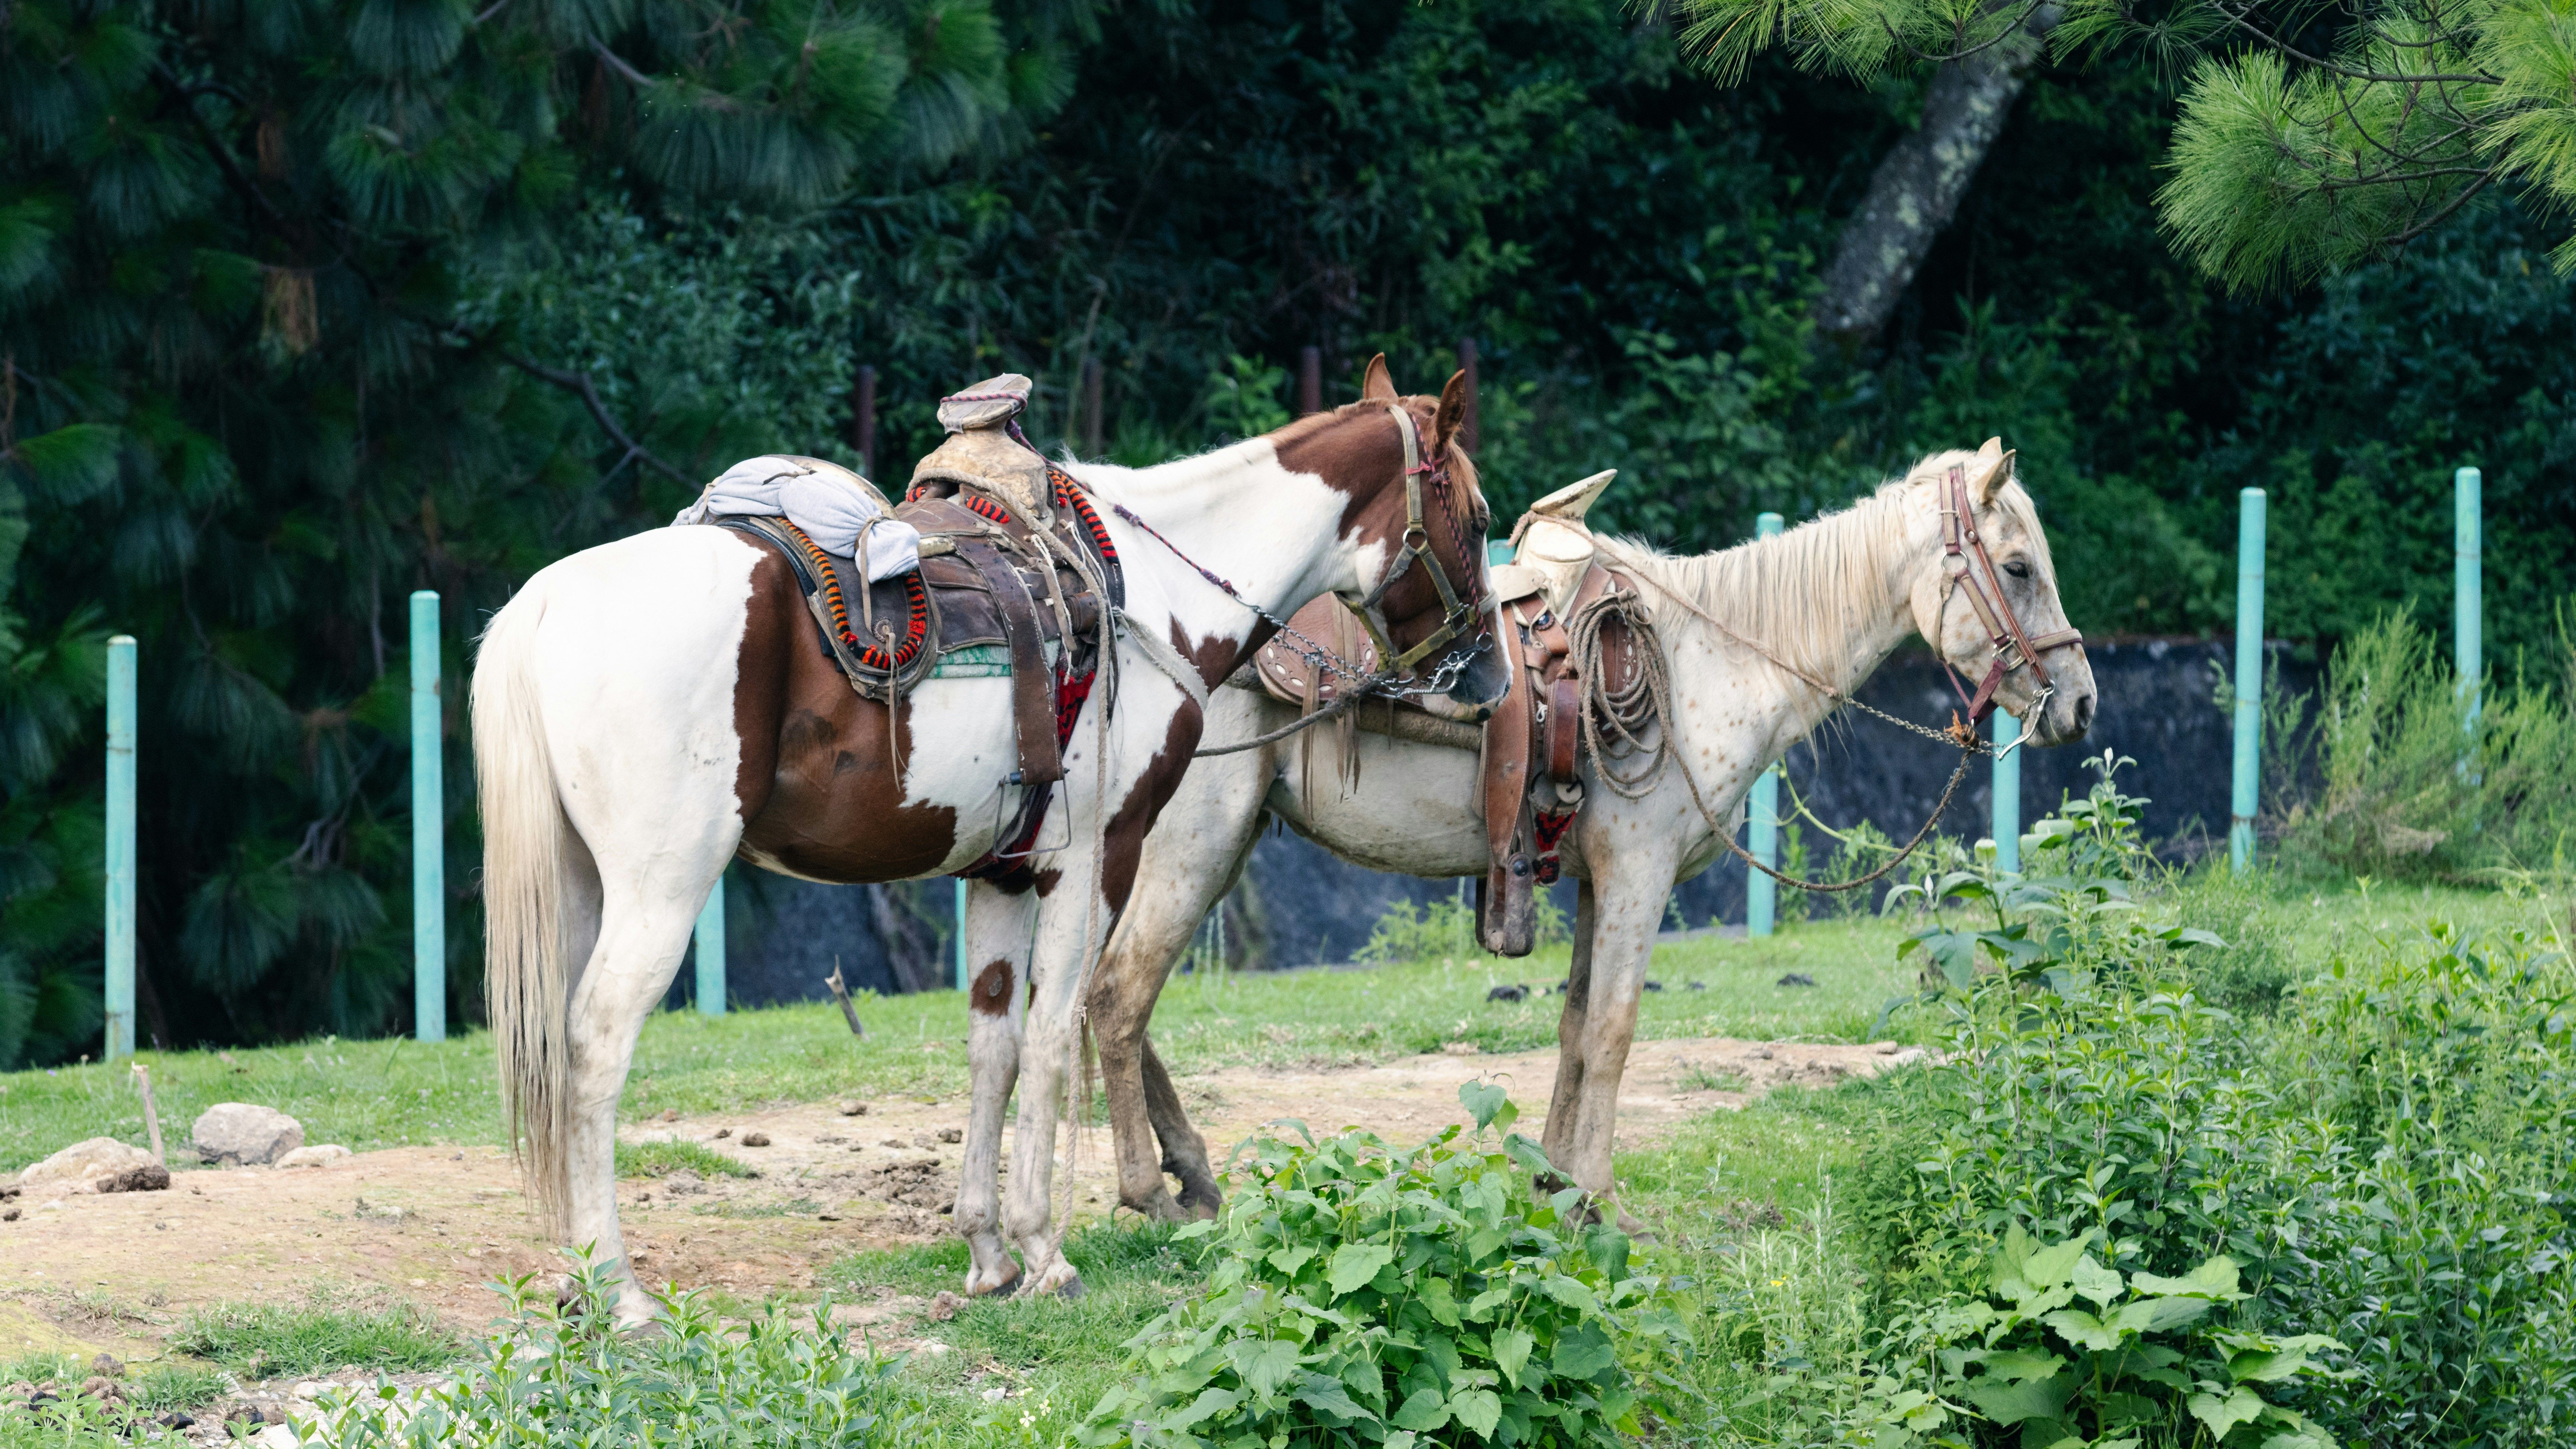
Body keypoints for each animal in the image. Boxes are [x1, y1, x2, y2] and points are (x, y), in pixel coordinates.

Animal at [471, 357, 1506, 1319]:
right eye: (1481, 515)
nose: (1490, 676)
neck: (1154, 592)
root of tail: (544, 604)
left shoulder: (1000, 873)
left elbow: (994, 1047)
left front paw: (988, 1253)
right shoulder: (1096, 861)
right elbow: (1054, 1035)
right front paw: (1047, 1254)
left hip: (580, 890)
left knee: (557, 1055)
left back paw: (576, 1282)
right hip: (661, 890)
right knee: (594, 1047)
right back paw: (621, 1293)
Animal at [1060, 441, 2098, 1226]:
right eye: (2017, 568)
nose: (2081, 703)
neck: (1709, 658)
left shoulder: (1601, 878)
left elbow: (1570, 1025)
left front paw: (1555, 1184)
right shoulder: (1640, 871)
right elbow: (1613, 1027)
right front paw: (1599, 1196)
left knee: (1104, 998)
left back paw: (1195, 1174)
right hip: (1197, 845)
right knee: (1117, 996)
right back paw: (1150, 1191)